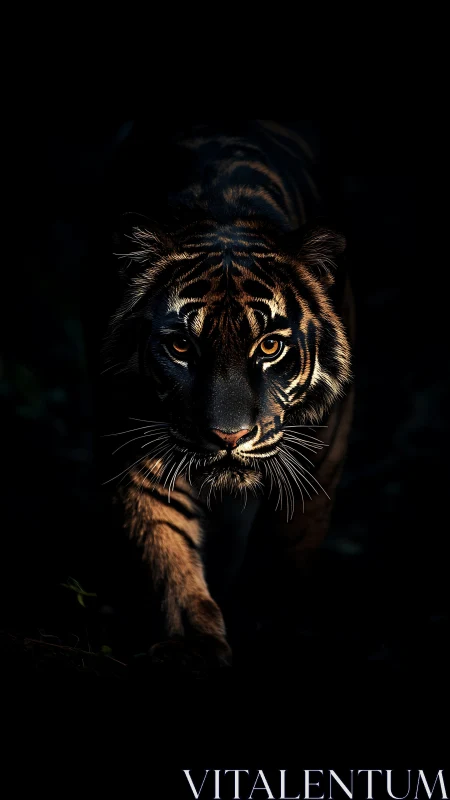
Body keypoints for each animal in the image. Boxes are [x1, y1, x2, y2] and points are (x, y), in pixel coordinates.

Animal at [102, 120, 355, 672]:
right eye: (181, 346)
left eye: (270, 345)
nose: (228, 437)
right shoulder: (139, 433)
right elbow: (164, 538)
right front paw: (191, 645)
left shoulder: (320, 454)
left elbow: (288, 548)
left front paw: (273, 634)